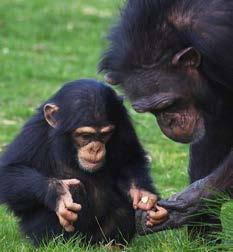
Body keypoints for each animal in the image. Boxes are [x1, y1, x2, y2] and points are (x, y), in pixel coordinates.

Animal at [0, 79, 167, 246]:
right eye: (85, 136)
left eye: (105, 134)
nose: (95, 148)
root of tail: (86, 243)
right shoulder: (35, 132)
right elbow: (9, 172)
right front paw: (58, 192)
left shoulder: (123, 123)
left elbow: (131, 159)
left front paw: (142, 194)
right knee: (73, 191)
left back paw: (112, 245)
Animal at [99, 0, 233, 240]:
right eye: (151, 111)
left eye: (168, 105)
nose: (169, 121)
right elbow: (216, 126)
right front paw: (202, 229)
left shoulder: (221, 44)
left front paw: (188, 203)